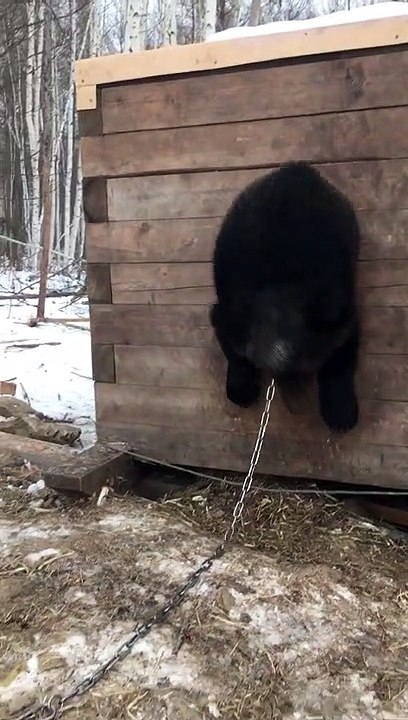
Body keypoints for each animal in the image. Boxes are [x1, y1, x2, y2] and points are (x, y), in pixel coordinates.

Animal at [209, 161, 361, 433]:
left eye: (308, 368)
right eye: (272, 374)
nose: (297, 410)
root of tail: (297, 168)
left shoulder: (344, 321)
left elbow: (338, 365)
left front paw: (339, 411)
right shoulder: (223, 317)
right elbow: (236, 357)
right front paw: (241, 389)